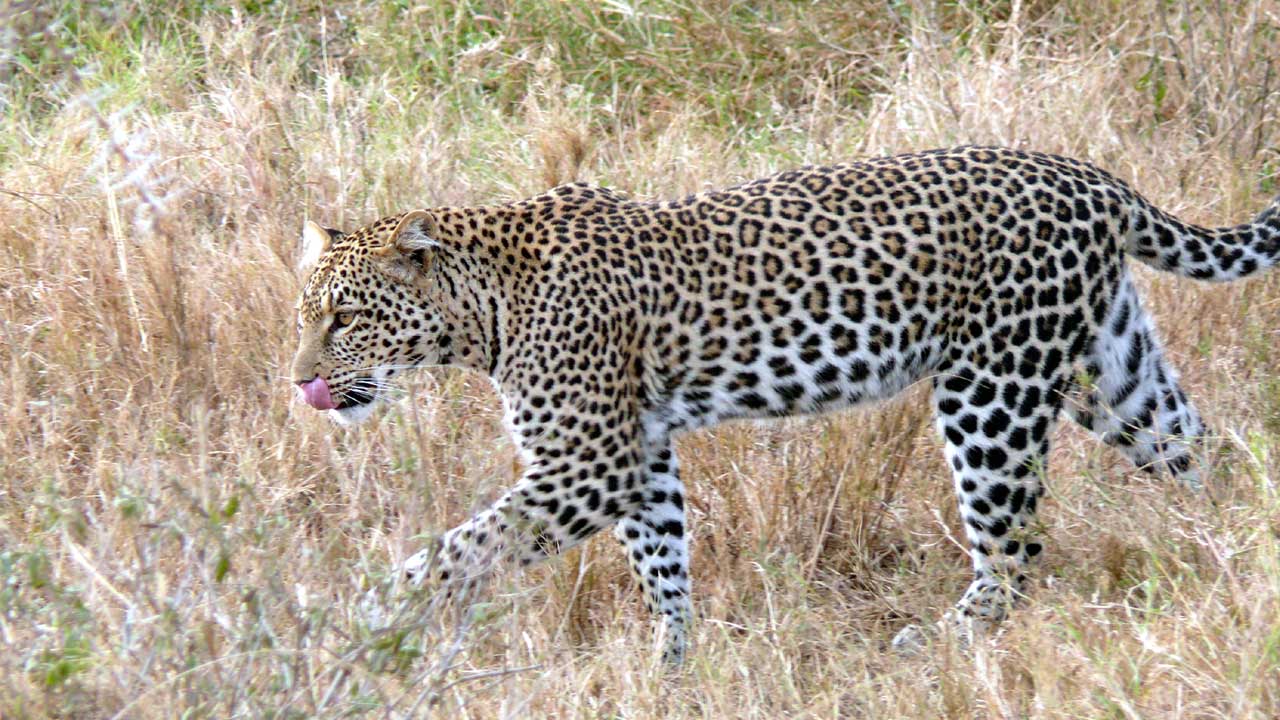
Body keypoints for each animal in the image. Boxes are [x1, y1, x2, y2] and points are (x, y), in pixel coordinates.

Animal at [290, 146, 1280, 662]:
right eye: (307, 315)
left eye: (345, 317)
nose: (300, 382)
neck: (483, 311)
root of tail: (1091, 177)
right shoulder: (639, 456)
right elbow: (662, 563)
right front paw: (672, 666)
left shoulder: (587, 465)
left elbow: (461, 549)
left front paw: (366, 620)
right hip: (1109, 372)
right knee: (1203, 451)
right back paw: (1236, 563)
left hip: (991, 390)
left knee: (1014, 549)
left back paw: (933, 644)